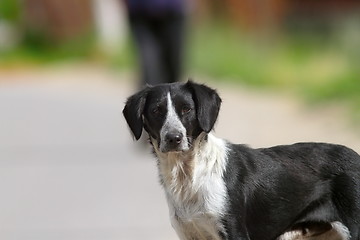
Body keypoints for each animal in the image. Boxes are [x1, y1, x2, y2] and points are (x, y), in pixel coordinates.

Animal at [122, 81, 358, 240]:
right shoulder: (189, 233)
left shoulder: (235, 231)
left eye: (186, 109)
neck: (190, 177)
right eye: (156, 110)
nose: (173, 138)